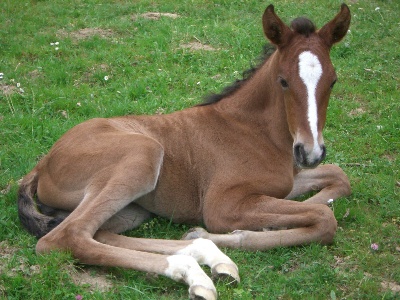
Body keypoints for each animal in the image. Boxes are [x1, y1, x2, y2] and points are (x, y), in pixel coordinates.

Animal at [18, 4, 350, 300]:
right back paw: (193, 274)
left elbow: (338, 179)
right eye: (283, 81)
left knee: (100, 233)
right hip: (144, 153)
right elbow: (323, 218)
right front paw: (252, 228)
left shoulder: (287, 181)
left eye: (333, 80)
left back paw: (211, 256)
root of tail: (42, 163)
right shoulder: (222, 205)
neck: (254, 131)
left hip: (132, 211)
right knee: (65, 237)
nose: (310, 153)